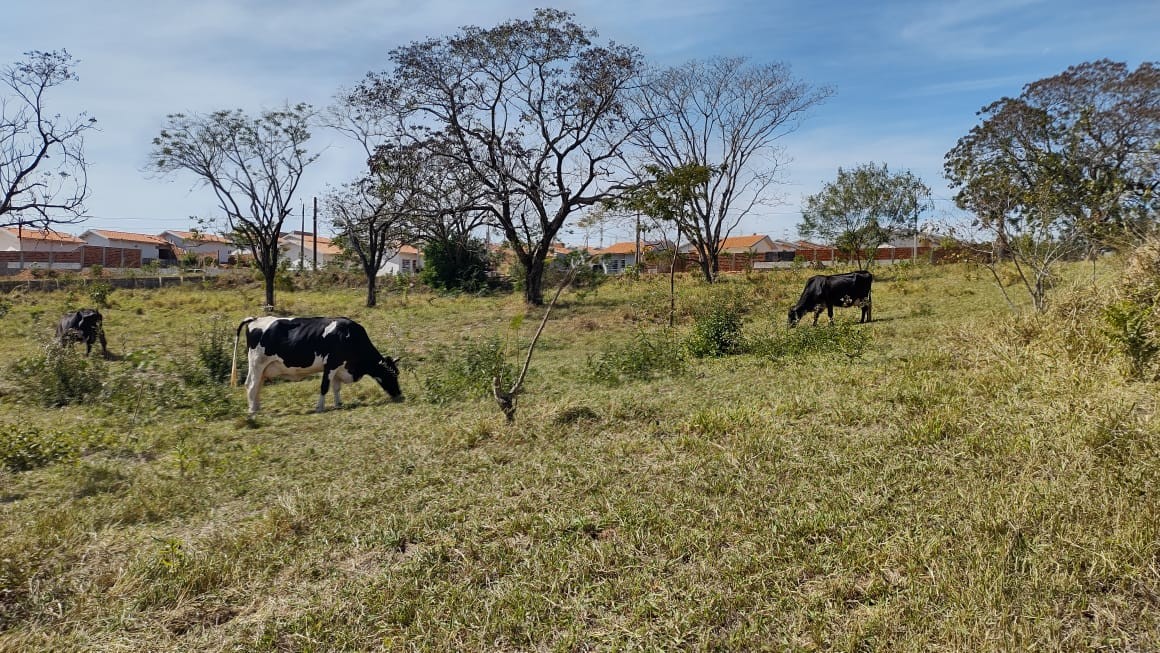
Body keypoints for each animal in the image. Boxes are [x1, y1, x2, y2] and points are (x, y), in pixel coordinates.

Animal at [228, 315, 406, 417]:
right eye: (391, 375)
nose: (399, 394)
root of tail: (255, 319)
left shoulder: (339, 367)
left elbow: (336, 387)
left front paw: (338, 404)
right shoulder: (331, 364)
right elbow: (324, 387)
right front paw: (320, 407)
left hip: (264, 368)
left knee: (258, 385)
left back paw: (257, 408)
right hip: (257, 363)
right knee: (251, 385)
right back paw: (252, 412)